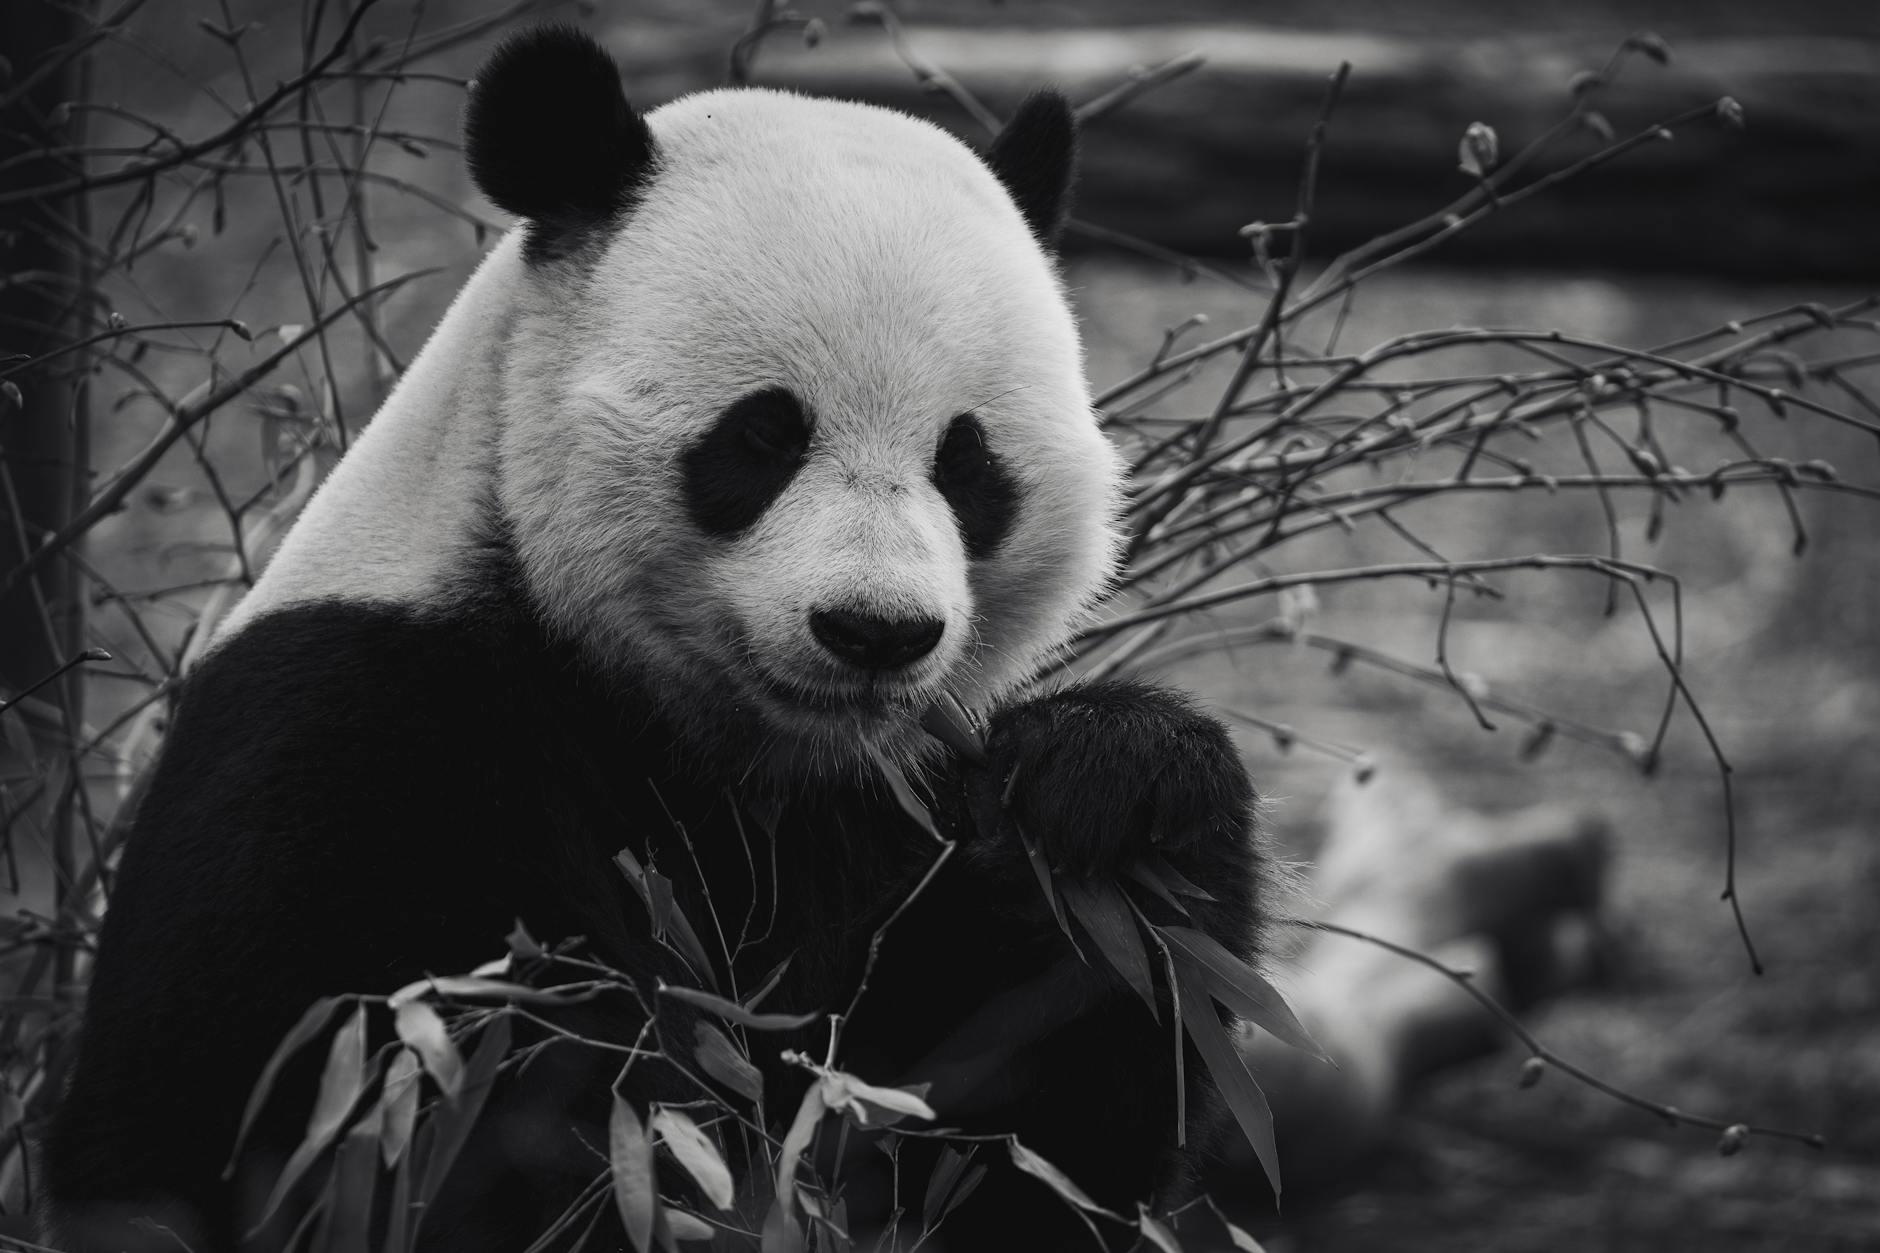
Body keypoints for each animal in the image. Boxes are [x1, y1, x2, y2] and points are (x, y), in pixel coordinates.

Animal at [40, 21, 1263, 1249]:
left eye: (967, 462)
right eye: (762, 435)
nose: (875, 631)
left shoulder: (880, 807)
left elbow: (1003, 1133)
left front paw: (1114, 781)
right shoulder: (352, 740)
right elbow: (403, 1120)